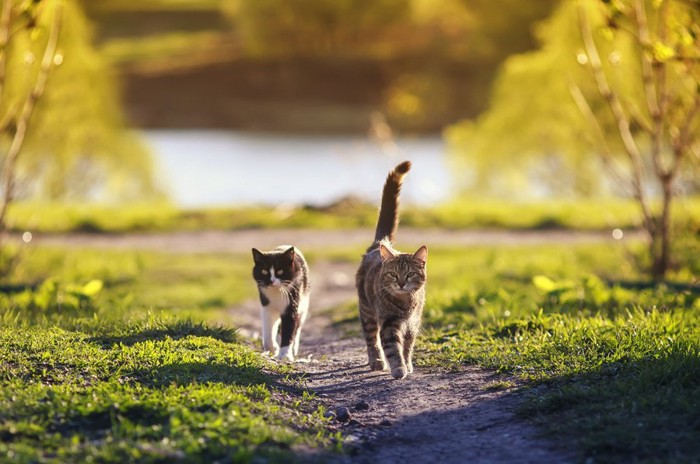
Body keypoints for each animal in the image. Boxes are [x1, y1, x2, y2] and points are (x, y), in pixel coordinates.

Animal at [356, 161, 426, 378]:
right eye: (393, 274)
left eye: (410, 274)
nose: (401, 283)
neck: (406, 303)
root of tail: (380, 243)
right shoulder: (389, 323)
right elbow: (393, 348)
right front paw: (398, 368)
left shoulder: (413, 323)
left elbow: (407, 347)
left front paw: (408, 364)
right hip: (367, 311)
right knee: (371, 339)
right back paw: (377, 360)